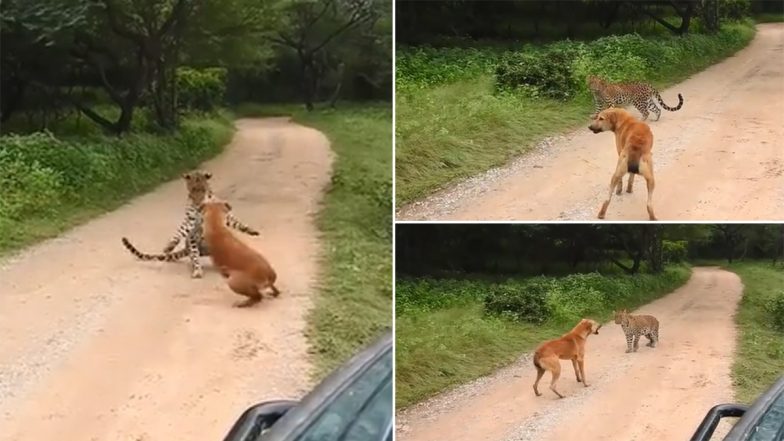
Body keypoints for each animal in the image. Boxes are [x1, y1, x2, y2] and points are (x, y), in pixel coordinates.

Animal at [121, 169, 258, 276]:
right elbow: (181, 231)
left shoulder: (225, 215)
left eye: (202, 189)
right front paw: (170, 245)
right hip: (193, 243)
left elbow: (236, 222)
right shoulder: (191, 222)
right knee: (195, 257)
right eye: (192, 190)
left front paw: (251, 230)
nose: (198, 203)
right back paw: (198, 271)